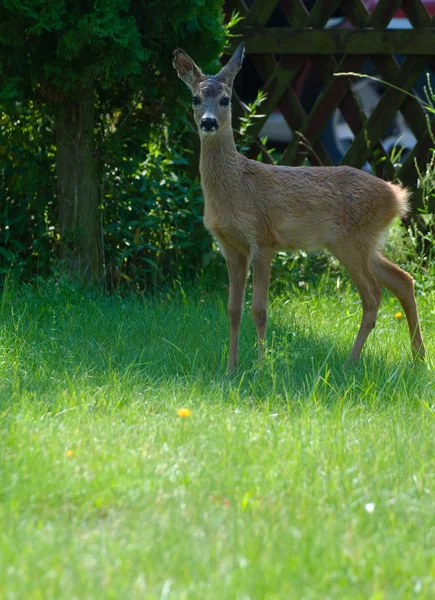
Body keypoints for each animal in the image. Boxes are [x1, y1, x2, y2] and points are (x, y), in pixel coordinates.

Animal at [172, 42, 428, 372]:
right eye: (195, 98)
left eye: (226, 99)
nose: (208, 122)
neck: (236, 187)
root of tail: (397, 197)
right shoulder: (230, 246)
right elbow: (232, 309)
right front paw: (231, 369)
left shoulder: (263, 239)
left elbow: (259, 309)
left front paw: (261, 366)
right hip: (363, 244)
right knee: (402, 280)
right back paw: (418, 356)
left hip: (352, 242)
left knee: (374, 296)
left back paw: (350, 361)